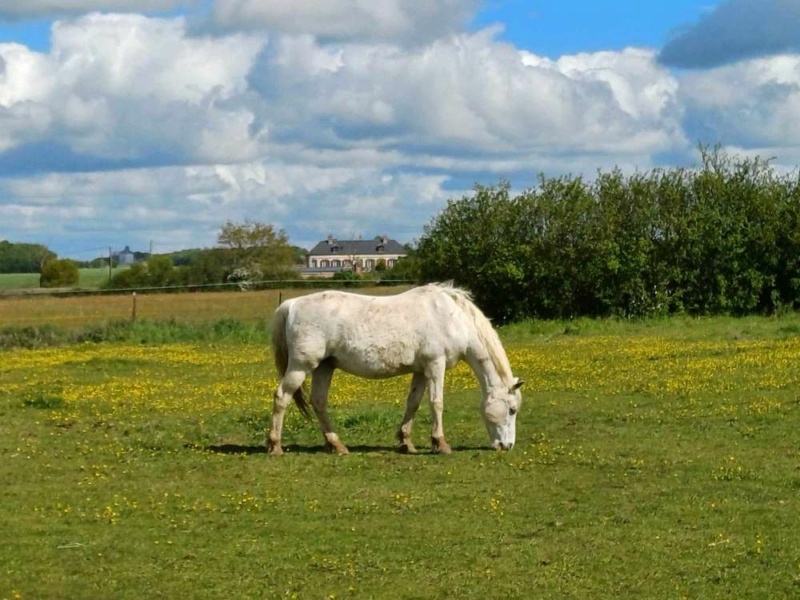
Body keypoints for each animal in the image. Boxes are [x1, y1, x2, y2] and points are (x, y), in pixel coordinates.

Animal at [268, 282, 520, 454]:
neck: (453, 318)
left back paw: (336, 445)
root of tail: (291, 305)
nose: (507, 445)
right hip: (301, 366)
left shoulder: (421, 371)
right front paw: (440, 443)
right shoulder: (435, 365)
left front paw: (406, 442)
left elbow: (413, 403)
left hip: (324, 367)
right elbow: (436, 403)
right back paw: (275, 445)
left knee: (319, 402)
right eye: (512, 410)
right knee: (281, 397)